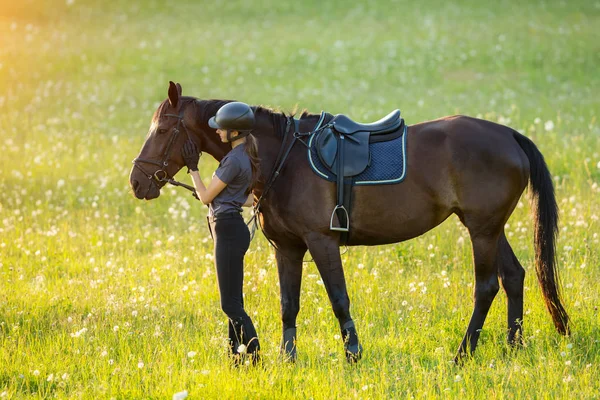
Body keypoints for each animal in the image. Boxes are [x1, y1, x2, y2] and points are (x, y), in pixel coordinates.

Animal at [129, 81, 568, 362]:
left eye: (163, 129)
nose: (136, 181)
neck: (279, 157)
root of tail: (509, 135)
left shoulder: (321, 241)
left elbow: (339, 298)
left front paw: (353, 354)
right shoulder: (288, 248)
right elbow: (289, 305)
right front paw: (288, 360)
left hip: (481, 229)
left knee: (487, 286)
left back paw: (463, 354)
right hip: (490, 228)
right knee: (514, 276)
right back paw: (513, 347)